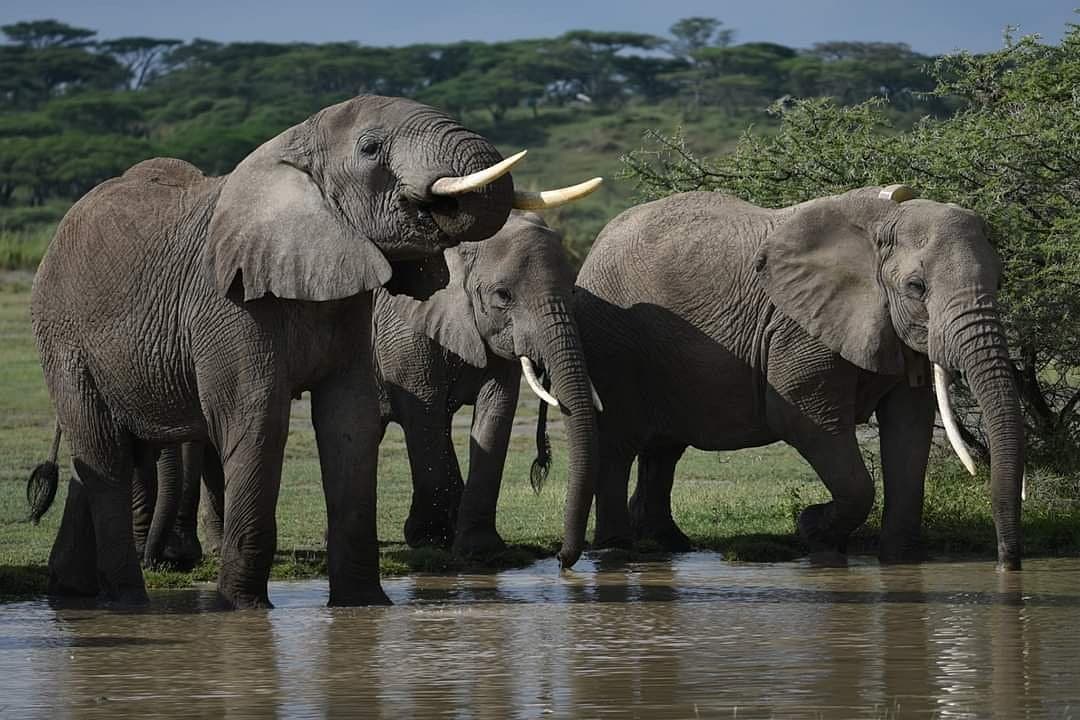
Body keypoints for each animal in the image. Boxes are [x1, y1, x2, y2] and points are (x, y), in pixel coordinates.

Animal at [27, 94, 600, 608]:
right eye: (370, 148)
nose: (565, 562)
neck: (293, 147)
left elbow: (360, 419)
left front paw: (369, 603)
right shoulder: (232, 300)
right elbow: (262, 416)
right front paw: (240, 608)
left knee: (103, 449)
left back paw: (71, 590)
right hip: (61, 334)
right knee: (103, 443)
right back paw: (131, 597)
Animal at [571, 186, 1023, 569]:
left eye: (1001, 281)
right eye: (916, 287)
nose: (1007, 564)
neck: (881, 225)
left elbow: (909, 425)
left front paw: (902, 562)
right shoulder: (798, 330)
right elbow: (803, 420)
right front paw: (813, 532)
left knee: (664, 449)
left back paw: (669, 544)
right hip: (612, 341)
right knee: (619, 442)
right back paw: (616, 550)